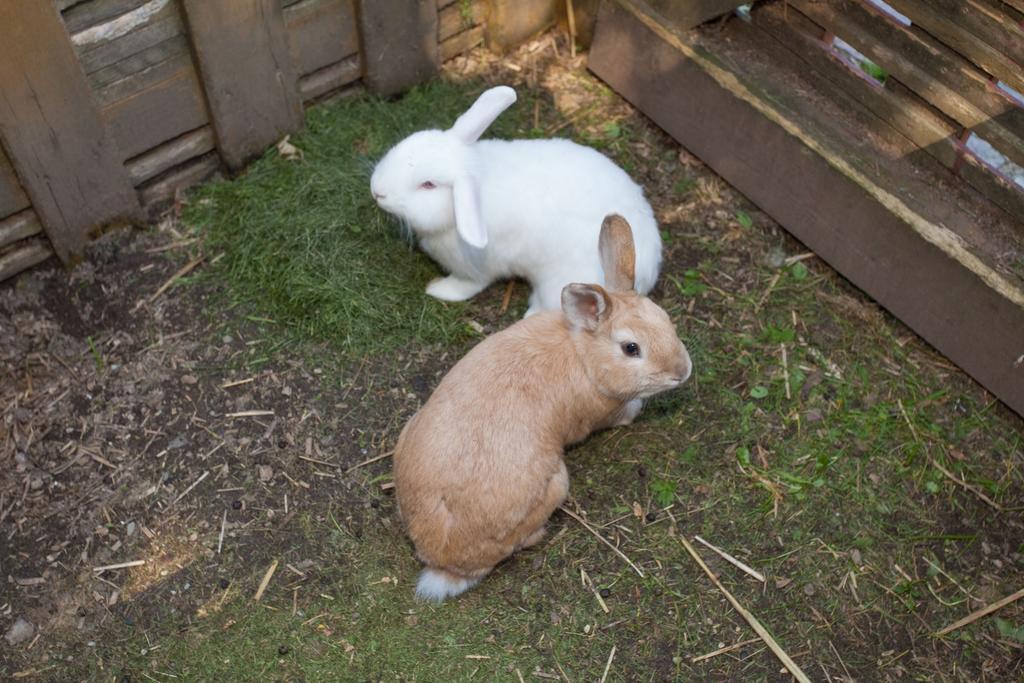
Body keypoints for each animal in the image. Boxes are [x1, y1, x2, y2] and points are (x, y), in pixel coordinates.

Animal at [370, 86, 663, 317]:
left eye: (428, 185)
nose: (376, 190)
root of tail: (644, 270)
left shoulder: (473, 269)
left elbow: (466, 286)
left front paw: (438, 290)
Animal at [389, 216, 688, 602]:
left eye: (666, 320)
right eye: (631, 348)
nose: (683, 371)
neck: (583, 352)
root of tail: (445, 564)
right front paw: (635, 410)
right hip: (557, 483)